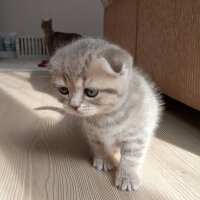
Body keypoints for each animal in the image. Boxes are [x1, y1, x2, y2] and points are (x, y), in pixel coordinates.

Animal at [48, 37, 162, 192]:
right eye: (63, 90)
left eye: (91, 92)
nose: (73, 106)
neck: (106, 117)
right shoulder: (92, 133)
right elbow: (98, 145)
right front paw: (102, 159)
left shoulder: (137, 135)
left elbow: (131, 158)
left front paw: (128, 177)